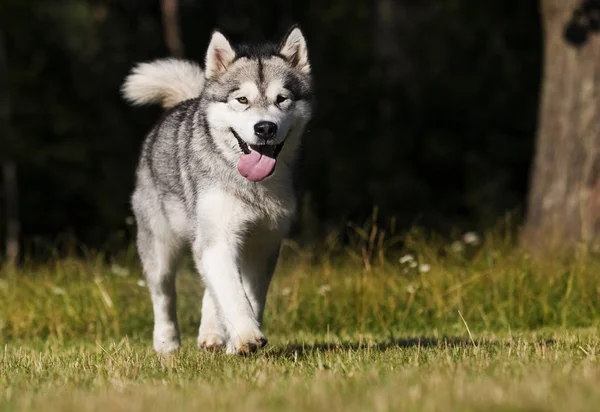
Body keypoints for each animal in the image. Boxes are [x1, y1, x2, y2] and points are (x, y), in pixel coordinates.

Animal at [120, 26, 312, 354]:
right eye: (242, 99)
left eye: (282, 99)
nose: (265, 128)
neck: (251, 186)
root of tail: (188, 101)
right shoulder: (218, 236)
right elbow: (232, 294)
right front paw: (246, 336)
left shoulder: (263, 242)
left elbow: (248, 294)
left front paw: (238, 340)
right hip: (160, 245)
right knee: (164, 294)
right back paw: (167, 343)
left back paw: (212, 334)